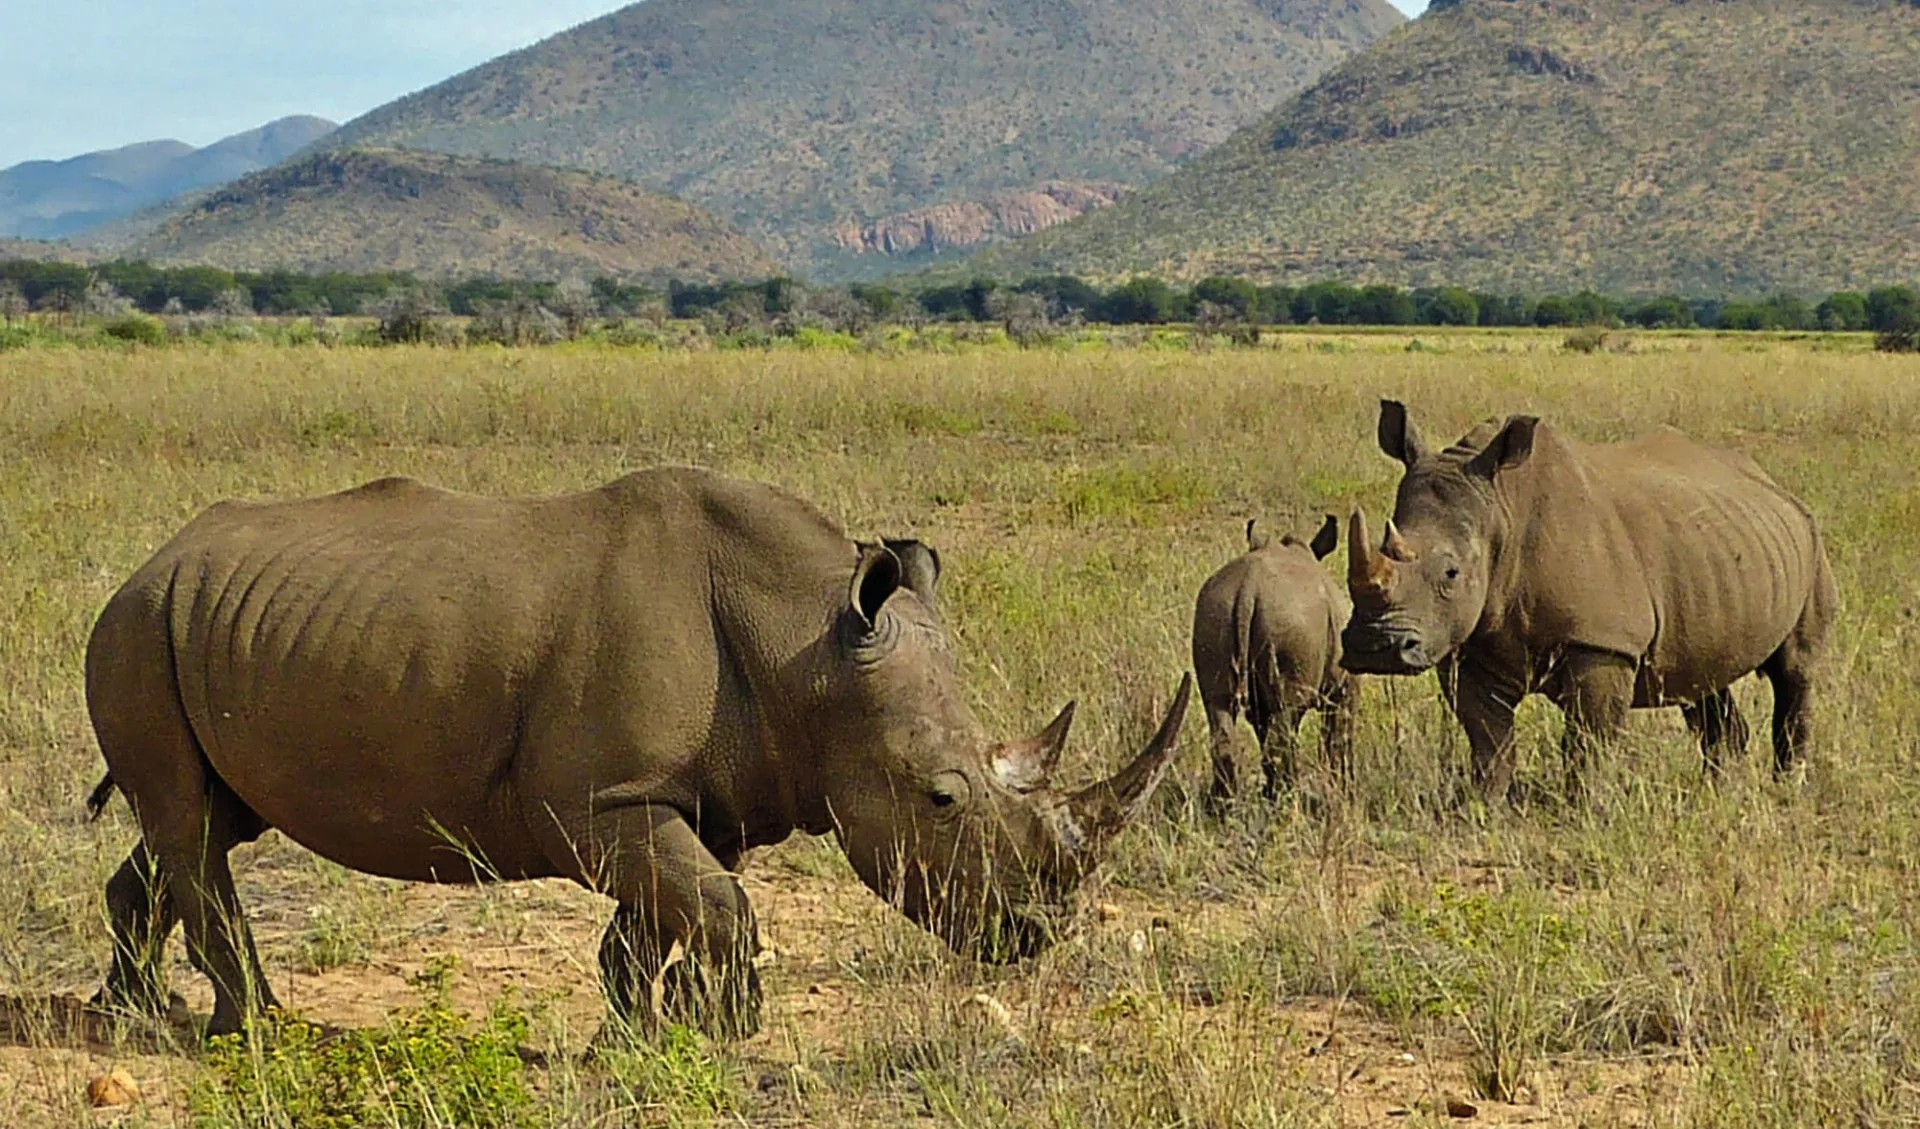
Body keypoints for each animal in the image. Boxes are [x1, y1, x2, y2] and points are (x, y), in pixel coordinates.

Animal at [82, 466, 1190, 1044]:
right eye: (942, 797)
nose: (1038, 931)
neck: (808, 643)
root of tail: (150, 560)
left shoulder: (690, 794)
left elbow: (664, 917)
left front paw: (644, 1034)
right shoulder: (598, 800)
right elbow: (715, 909)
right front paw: (731, 1030)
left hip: (210, 624)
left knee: (201, 819)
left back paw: (130, 1015)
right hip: (138, 629)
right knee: (189, 822)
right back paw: (260, 1032)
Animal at [1190, 514, 1359, 806]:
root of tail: (1247, 587)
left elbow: (1261, 726)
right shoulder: (1344, 687)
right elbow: (1338, 734)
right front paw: (1344, 791)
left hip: (1214, 611)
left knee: (1219, 708)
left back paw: (1225, 806)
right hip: (1291, 620)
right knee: (1285, 720)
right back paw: (1286, 800)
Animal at [1344, 399, 1835, 802]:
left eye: (1451, 573)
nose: (1377, 646)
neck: (1501, 510)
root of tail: (1772, 483)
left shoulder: (1602, 642)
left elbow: (1588, 738)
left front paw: (1586, 808)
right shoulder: (1465, 643)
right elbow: (1488, 736)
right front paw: (1484, 806)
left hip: (1811, 542)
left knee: (1795, 670)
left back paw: (1788, 789)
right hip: (1721, 554)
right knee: (1703, 677)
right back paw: (1716, 792)